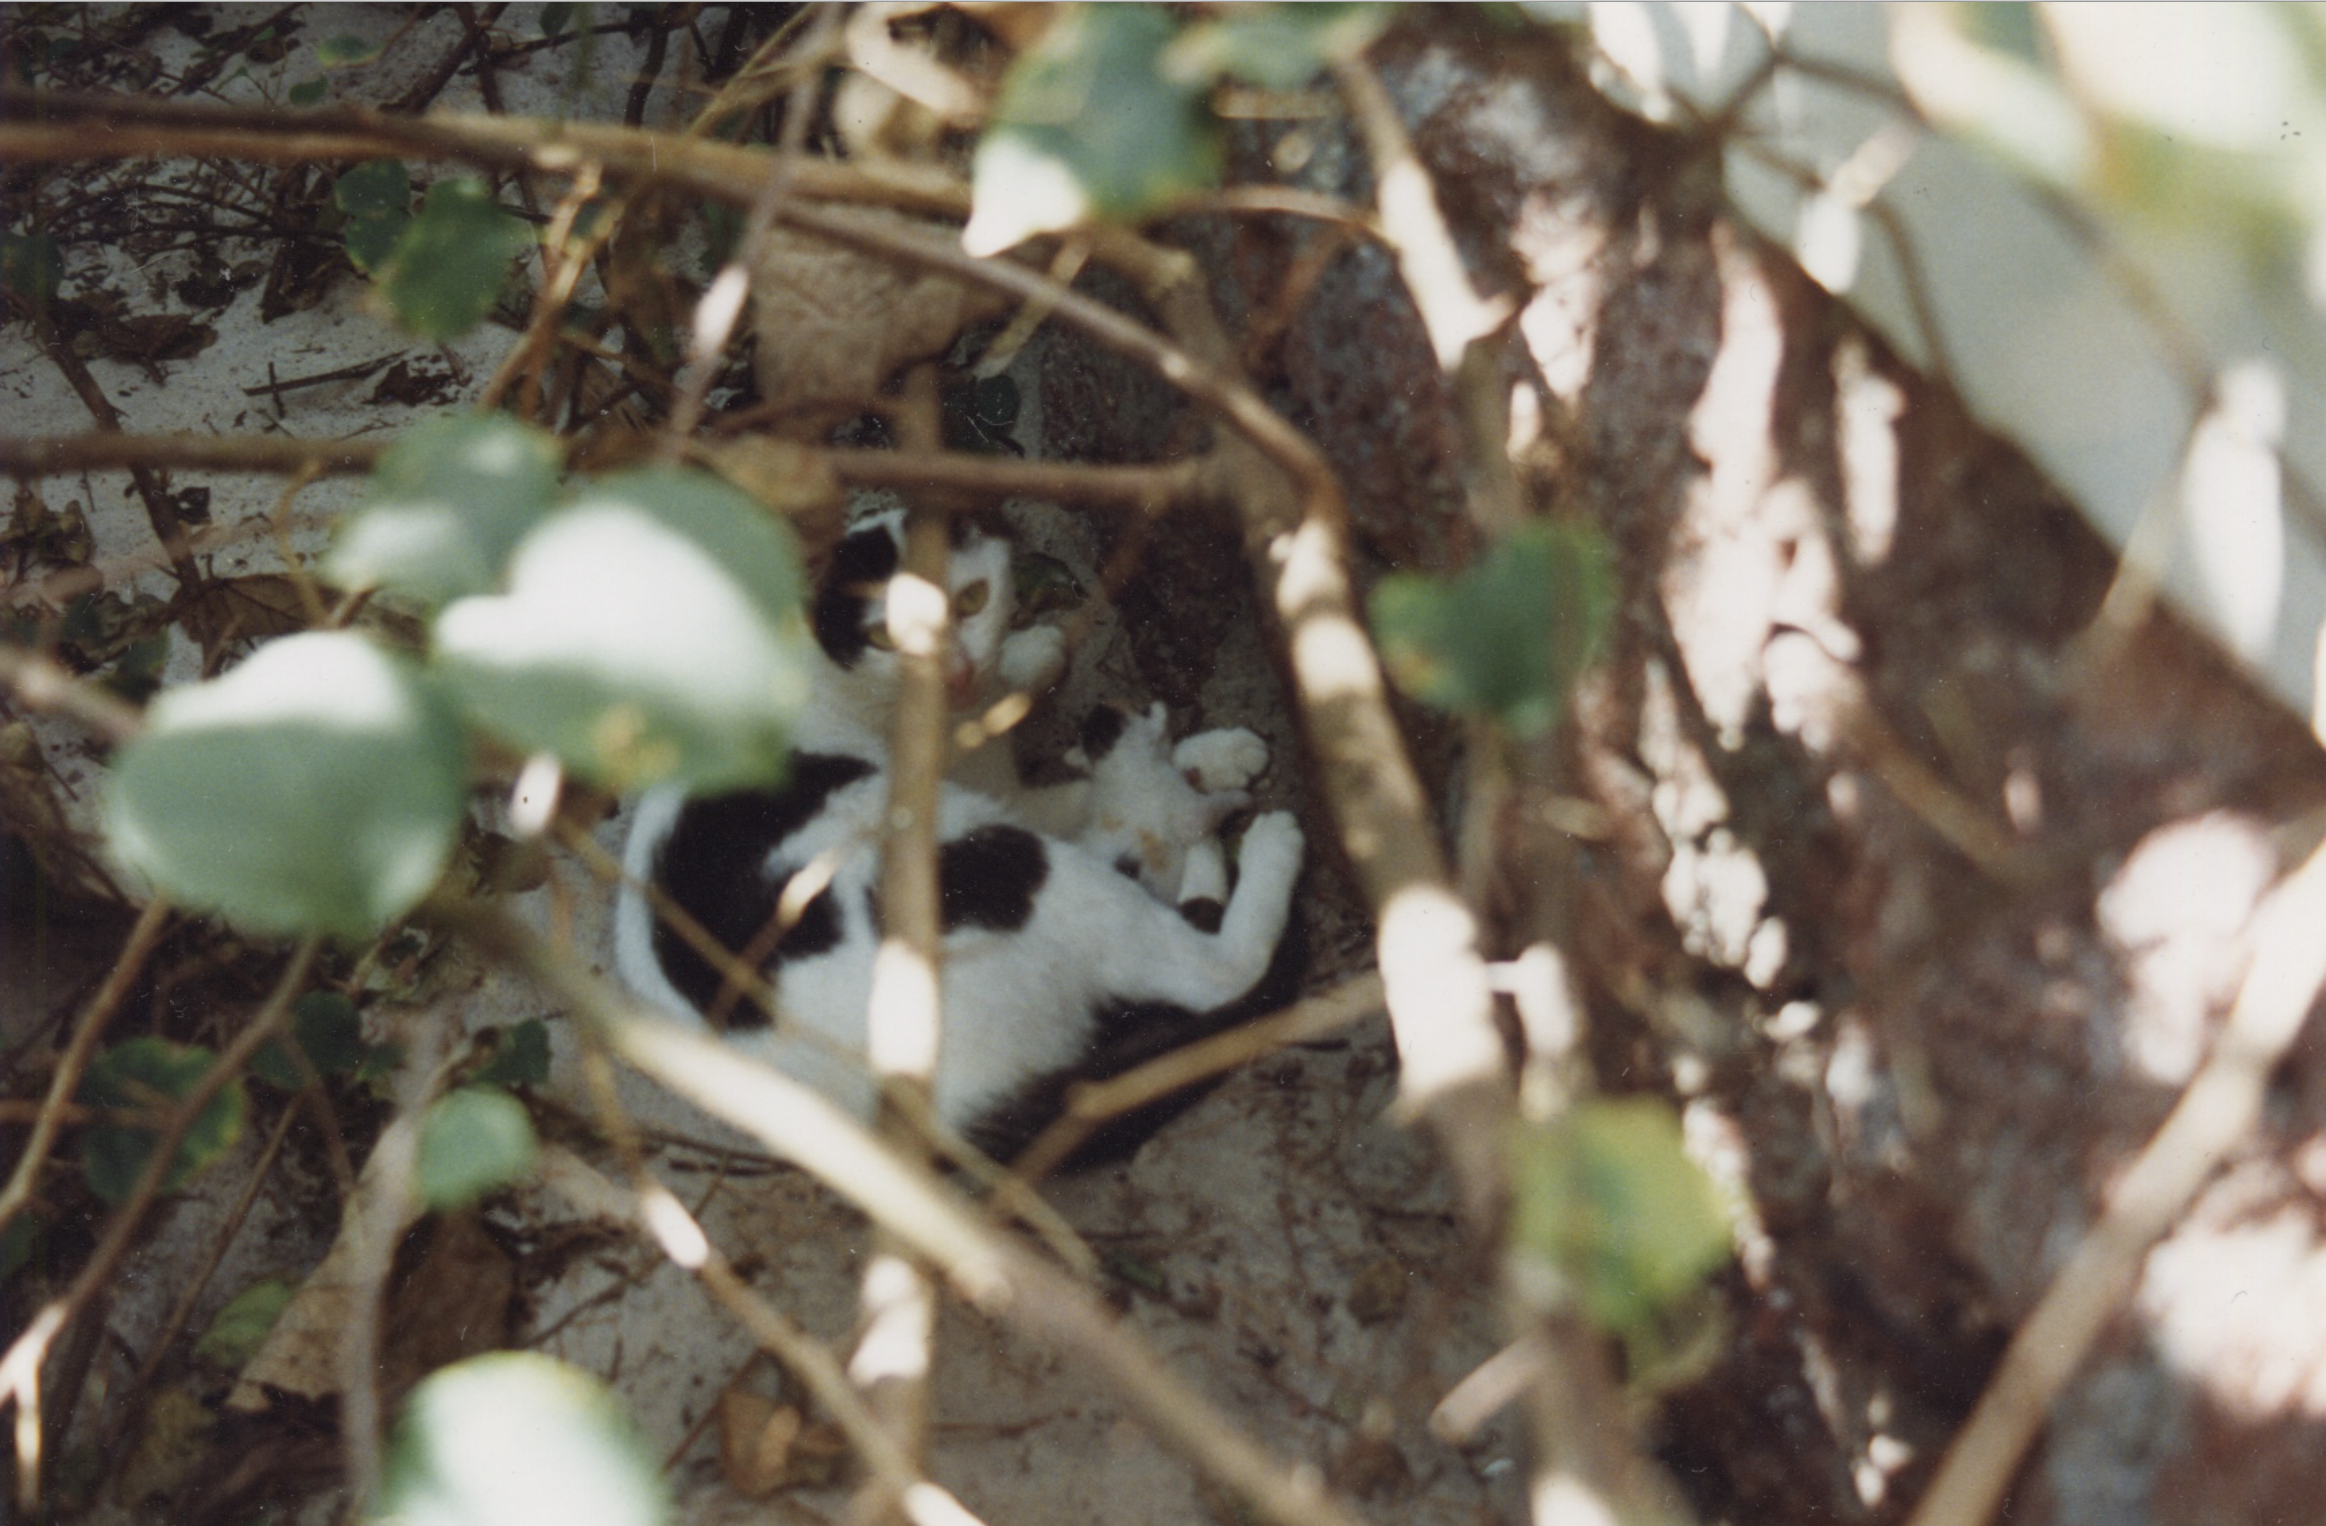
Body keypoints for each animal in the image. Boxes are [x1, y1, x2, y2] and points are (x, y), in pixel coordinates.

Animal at [614, 507, 1311, 1149]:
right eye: (885, 636)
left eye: (971, 599)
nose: (956, 674)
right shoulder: (997, 800)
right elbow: (1112, 792)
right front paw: (1194, 767)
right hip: (997, 859)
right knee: (1218, 974)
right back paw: (1262, 849)